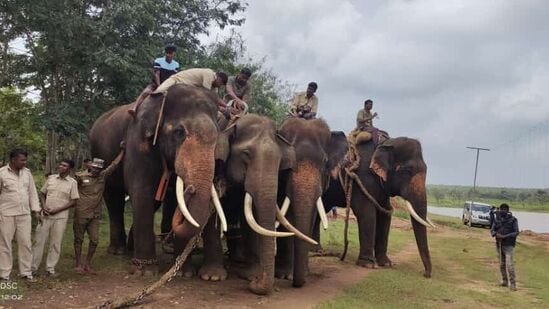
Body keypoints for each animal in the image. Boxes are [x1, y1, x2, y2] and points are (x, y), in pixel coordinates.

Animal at [90, 85, 225, 272]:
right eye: (179, 132)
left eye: (217, 136)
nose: (191, 189)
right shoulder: (137, 141)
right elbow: (141, 191)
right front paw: (145, 271)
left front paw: (185, 273)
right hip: (101, 156)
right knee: (113, 198)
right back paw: (118, 251)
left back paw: (131, 248)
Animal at [274, 117, 346, 286]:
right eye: (288, 162)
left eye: (325, 161)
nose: (297, 283)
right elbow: (286, 220)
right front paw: (284, 275)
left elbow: (312, 216)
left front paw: (304, 273)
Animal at [322, 135, 432, 276]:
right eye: (408, 171)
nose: (425, 274)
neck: (385, 143)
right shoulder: (362, 177)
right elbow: (366, 213)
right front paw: (368, 264)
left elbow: (385, 213)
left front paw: (386, 263)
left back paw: (317, 250)